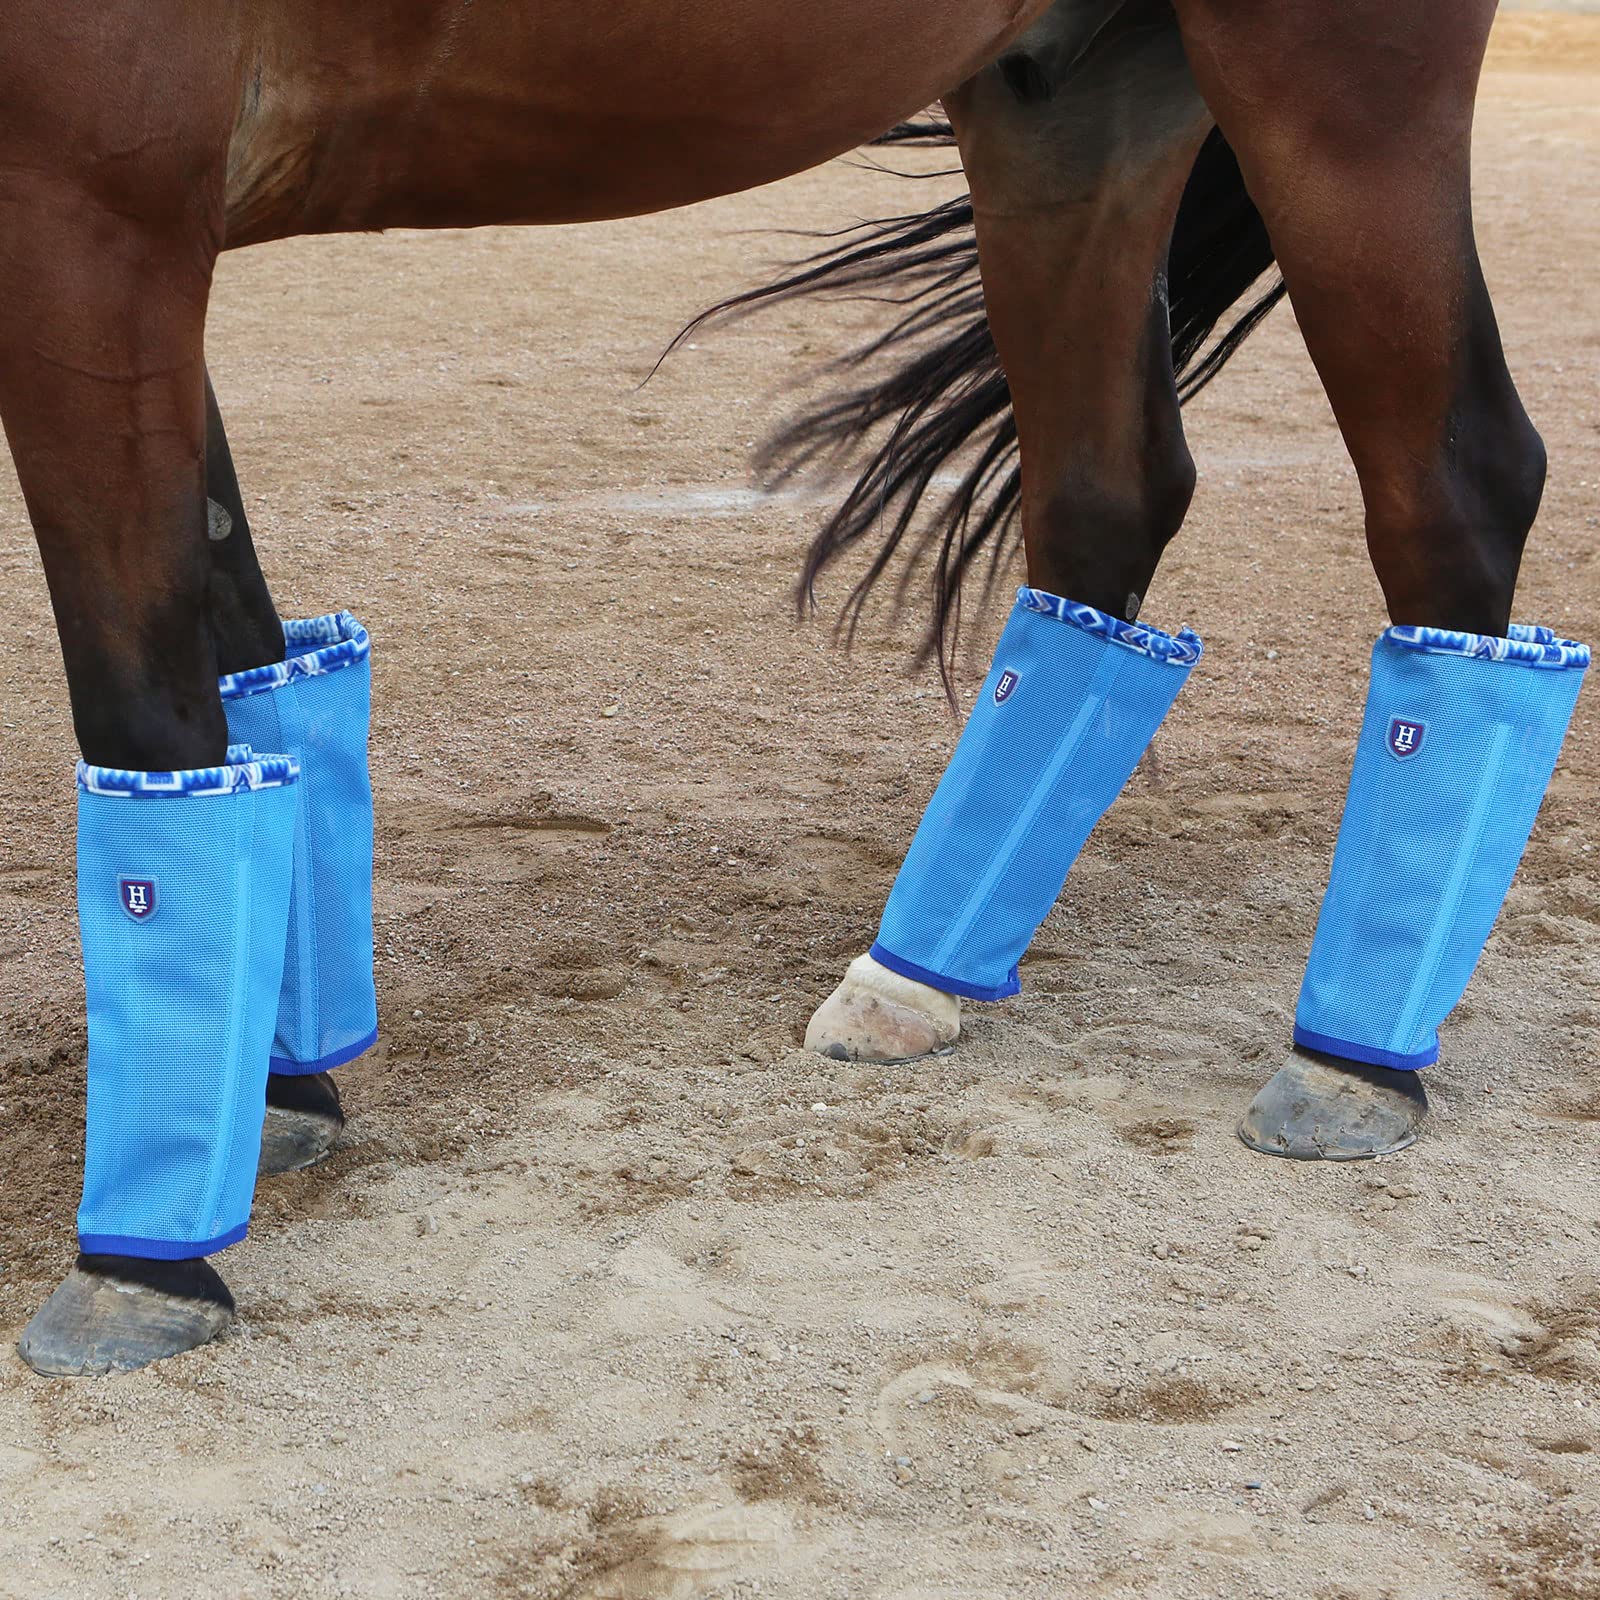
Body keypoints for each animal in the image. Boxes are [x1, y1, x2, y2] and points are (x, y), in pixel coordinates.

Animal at [1, 0, 1580, 1377]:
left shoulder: (92, 214)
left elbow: (145, 693)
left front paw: (143, 1259)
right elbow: (240, 638)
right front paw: (275, 1096)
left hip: (1335, 84)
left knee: (1456, 487)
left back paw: (1356, 1063)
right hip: (1073, 106)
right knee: (1106, 503)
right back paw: (918, 973)